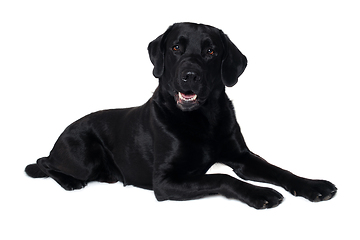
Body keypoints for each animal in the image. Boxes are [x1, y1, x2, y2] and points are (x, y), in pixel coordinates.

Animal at [26, 23, 338, 210]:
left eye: (211, 50)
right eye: (176, 47)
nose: (190, 75)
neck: (204, 119)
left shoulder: (242, 157)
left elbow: (279, 170)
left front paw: (314, 186)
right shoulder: (165, 181)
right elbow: (222, 177)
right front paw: (262, 194)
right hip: (83, 156)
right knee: (43, 162)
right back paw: (68, 181)